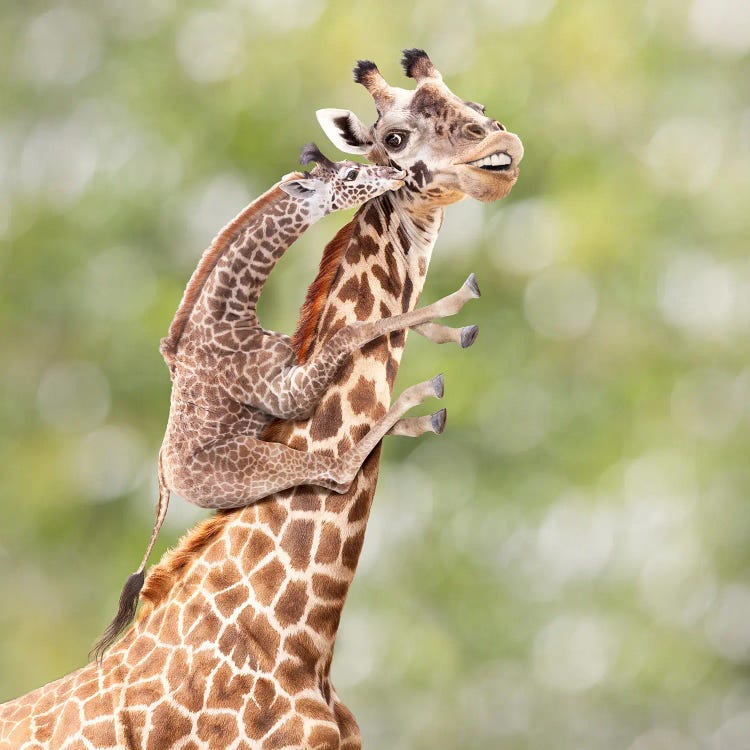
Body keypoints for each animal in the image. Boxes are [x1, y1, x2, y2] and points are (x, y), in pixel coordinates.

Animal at [95, 142, 482, 656]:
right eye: (352, 175)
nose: (395, 174)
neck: (229, 315)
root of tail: (167, 480)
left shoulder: (286, 365)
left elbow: (381, 328)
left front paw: (450, 330)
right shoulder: (285, 397)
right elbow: (354, 332)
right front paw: (457, 303)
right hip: (258, 462)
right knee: (338, 469)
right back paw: (424, 398)